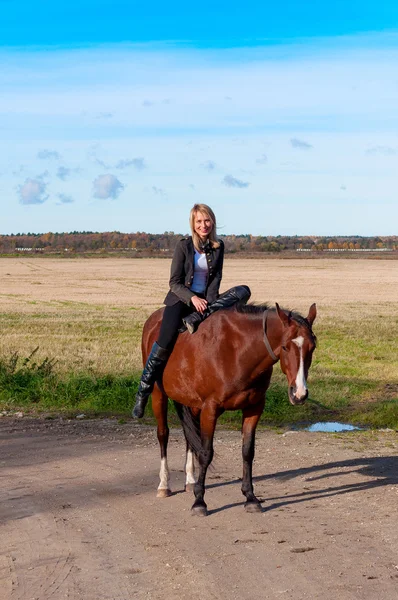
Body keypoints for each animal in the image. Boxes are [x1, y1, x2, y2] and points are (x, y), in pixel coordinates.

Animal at [140, 300, 318, 516]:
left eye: (312, 347)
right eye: (285, 346)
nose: (299, 393)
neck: (237, 352)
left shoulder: (254, 407)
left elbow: (247, 452)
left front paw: (250, 497)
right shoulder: (210, 409)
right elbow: (206, 453)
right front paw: (199, 502)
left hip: (192, 404)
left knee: (188, 436)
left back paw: (190, 481)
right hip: (159, 394)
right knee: (163, 434)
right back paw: (164, 485)